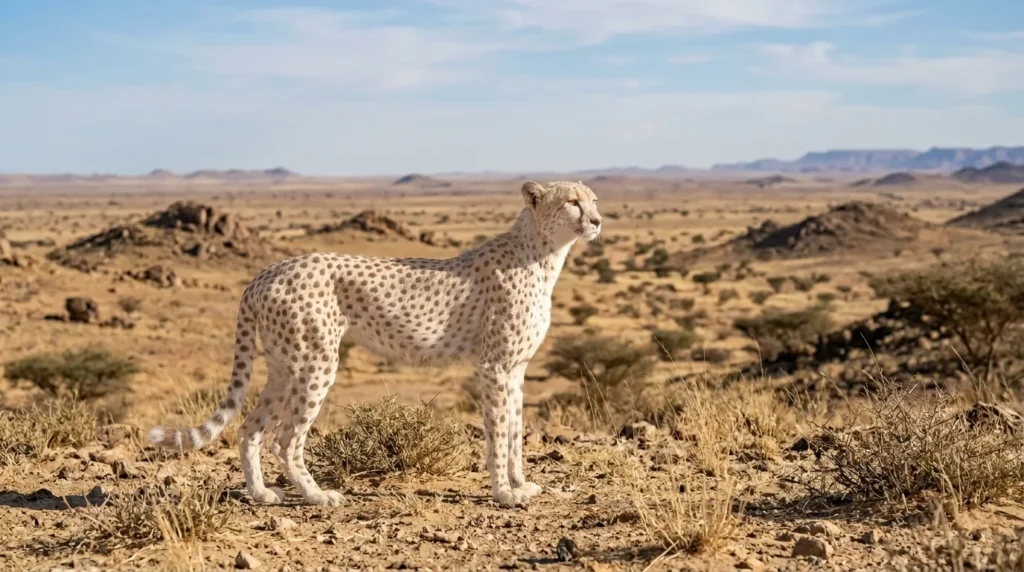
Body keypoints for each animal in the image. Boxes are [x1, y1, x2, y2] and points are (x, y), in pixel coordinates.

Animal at [147, 179, 603, 508]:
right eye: (572, 203)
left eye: (594, 200)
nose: (598, 221)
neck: (542, 253)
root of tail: (269, 270)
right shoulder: (493, 367)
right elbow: (498, 432)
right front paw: (503, 494)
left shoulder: (516, 369)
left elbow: (516, 430)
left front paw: (520, 484)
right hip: (316, 364)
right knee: (286, 439)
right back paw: (318, 496)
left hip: (283, 366)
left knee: (249, 429)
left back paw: (261, 494)